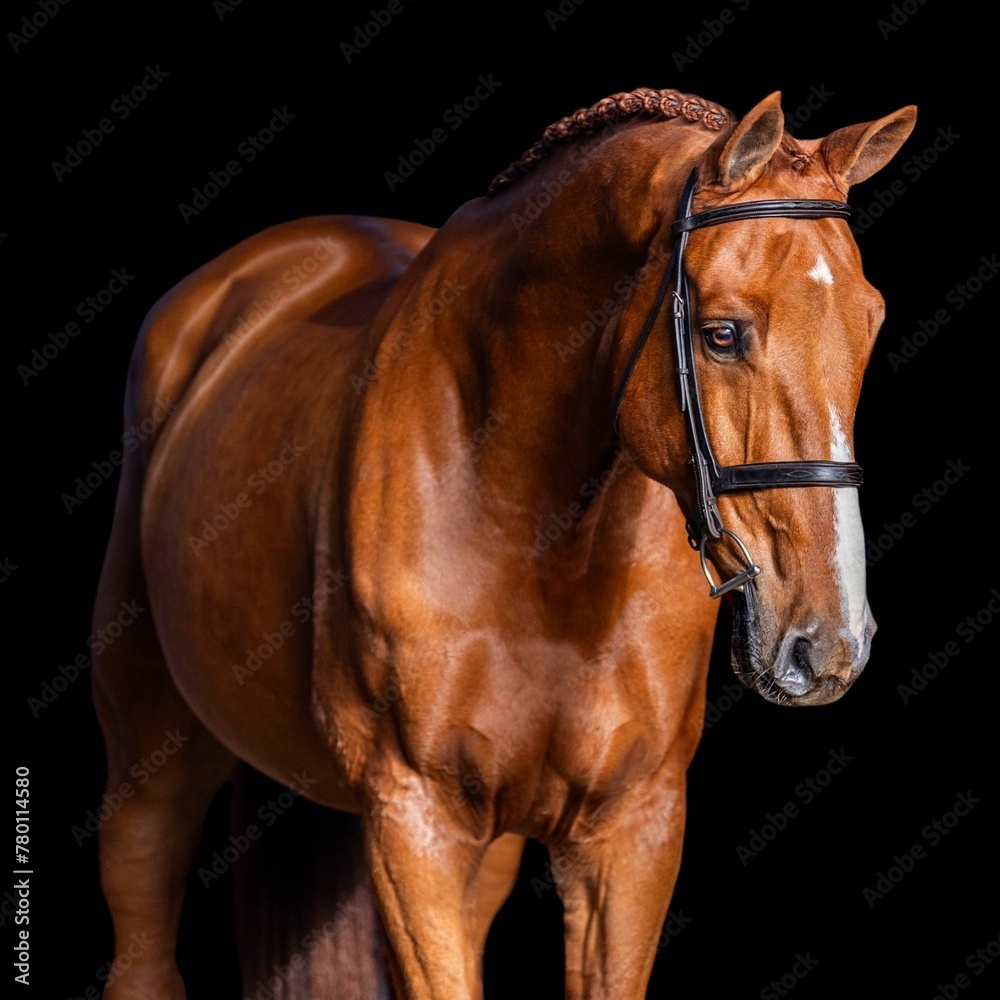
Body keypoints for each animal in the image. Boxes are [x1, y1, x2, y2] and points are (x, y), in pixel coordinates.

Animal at [91, 87, 916, 999]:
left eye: (870, 323)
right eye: (723, 333)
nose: (829, 644)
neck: (535, 536)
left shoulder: (632, 828)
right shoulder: (414, 819)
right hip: (151, 761)